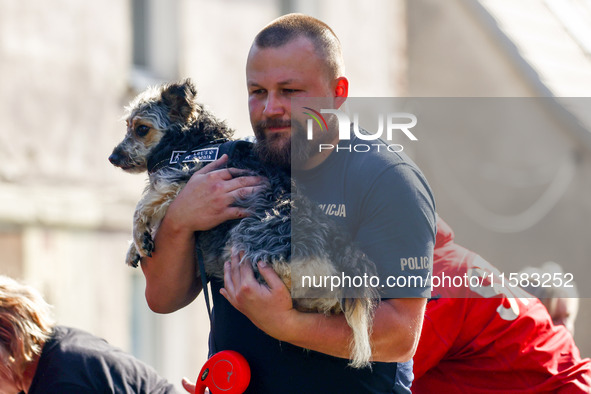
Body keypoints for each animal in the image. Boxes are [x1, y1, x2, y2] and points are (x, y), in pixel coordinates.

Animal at [108, 78, 380, 368]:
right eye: (127, 126)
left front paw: (139, 237)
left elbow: (141, 207)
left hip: (247, 240)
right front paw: (135, 247)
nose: (112, 157)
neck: (193, 140)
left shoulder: (181, 177)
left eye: (141, 129)